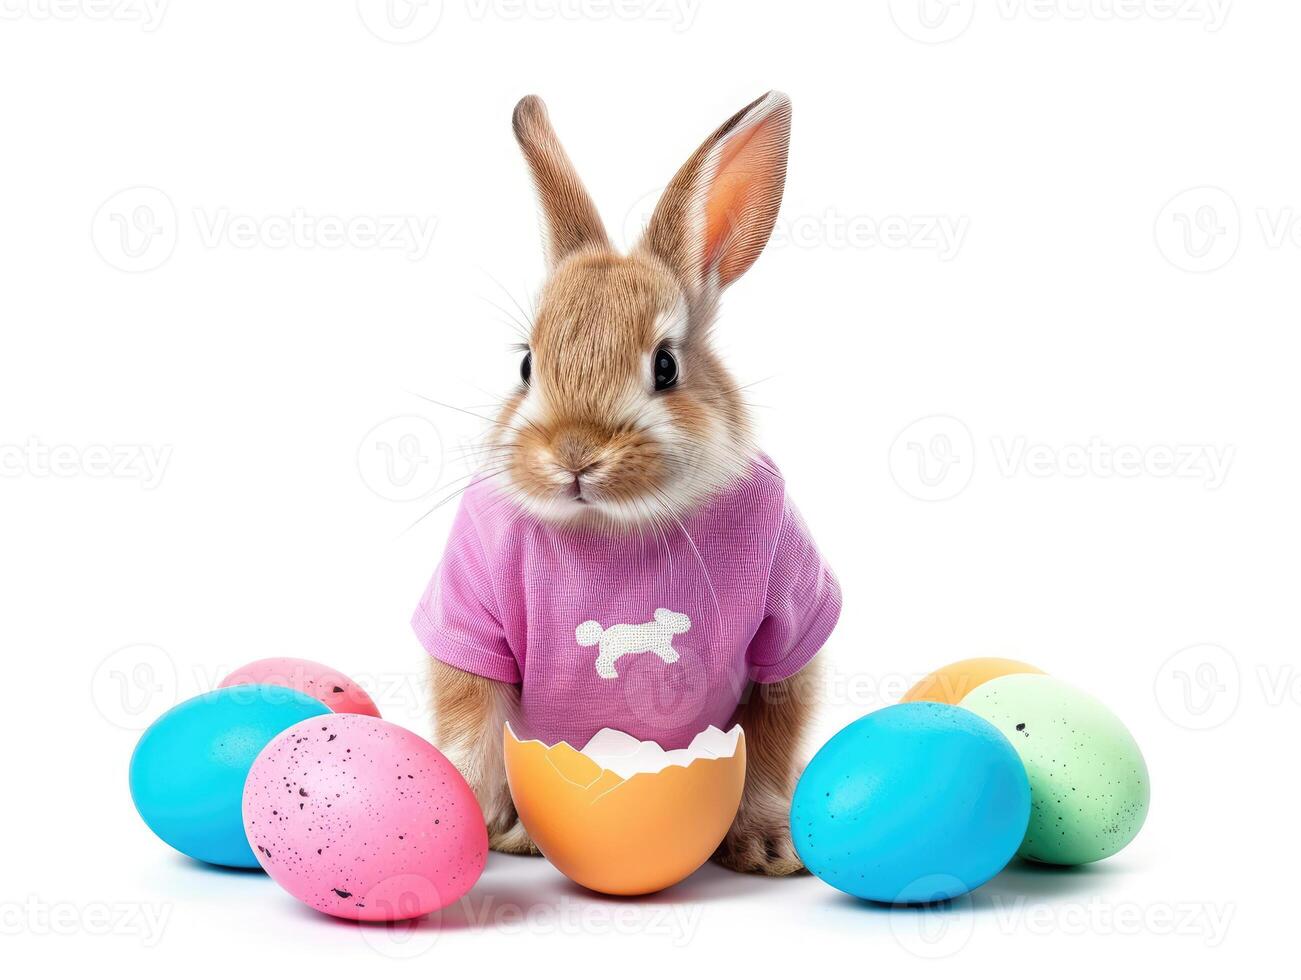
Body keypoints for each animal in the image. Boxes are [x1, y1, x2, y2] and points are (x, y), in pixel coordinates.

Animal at [418, 89, 843, 869]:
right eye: (526, 364)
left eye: (666, 366)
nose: (575, 453)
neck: (613, 523)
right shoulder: (469, 613)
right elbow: (470, 726)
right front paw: (465, 825)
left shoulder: (788, 624)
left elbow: (770, 743)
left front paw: (767, 847)